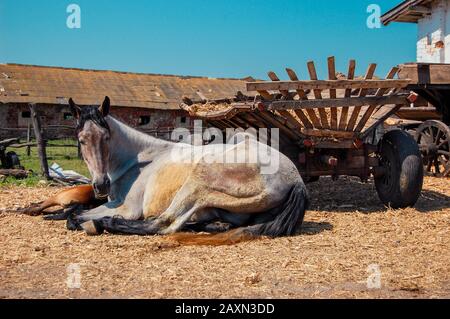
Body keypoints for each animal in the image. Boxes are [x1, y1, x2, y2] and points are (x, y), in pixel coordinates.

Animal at [67, 96, 310, 246]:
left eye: (106, 137)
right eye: (81, 140)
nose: (100, 185)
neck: (137, 161)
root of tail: (296, 179)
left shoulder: (126, 208)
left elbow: (75, 215)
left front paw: (90, 221)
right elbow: (76, 210)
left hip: (197, 184)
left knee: (163, 224)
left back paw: (107, 223)